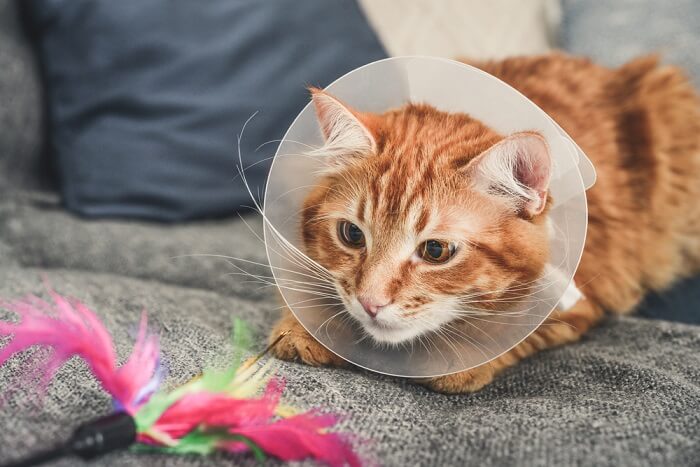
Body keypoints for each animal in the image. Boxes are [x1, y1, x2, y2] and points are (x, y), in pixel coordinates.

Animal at [266, 53, 700, 394]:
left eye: (436, 251)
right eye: (352, 234)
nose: (371, 303)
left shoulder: (582, 300)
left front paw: (459, 360)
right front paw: (304, 328)